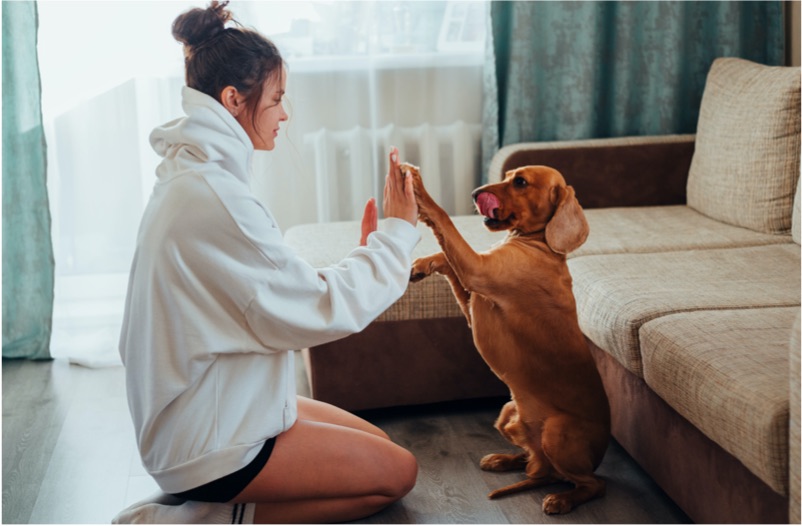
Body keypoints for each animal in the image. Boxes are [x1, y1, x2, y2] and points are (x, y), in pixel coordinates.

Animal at [410, 164, 608, 516]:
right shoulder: (472, 295)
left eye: (520, 182)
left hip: (556, 433)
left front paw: (420, 191)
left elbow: (444, 221)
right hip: (507, 412)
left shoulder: (477, 270)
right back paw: (505, 459)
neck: (539, 243)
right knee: (536, 462)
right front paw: (422, 265)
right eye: (507, 175)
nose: (476, 193)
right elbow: (446, 258)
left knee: (592, 484)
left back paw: (562, 499)